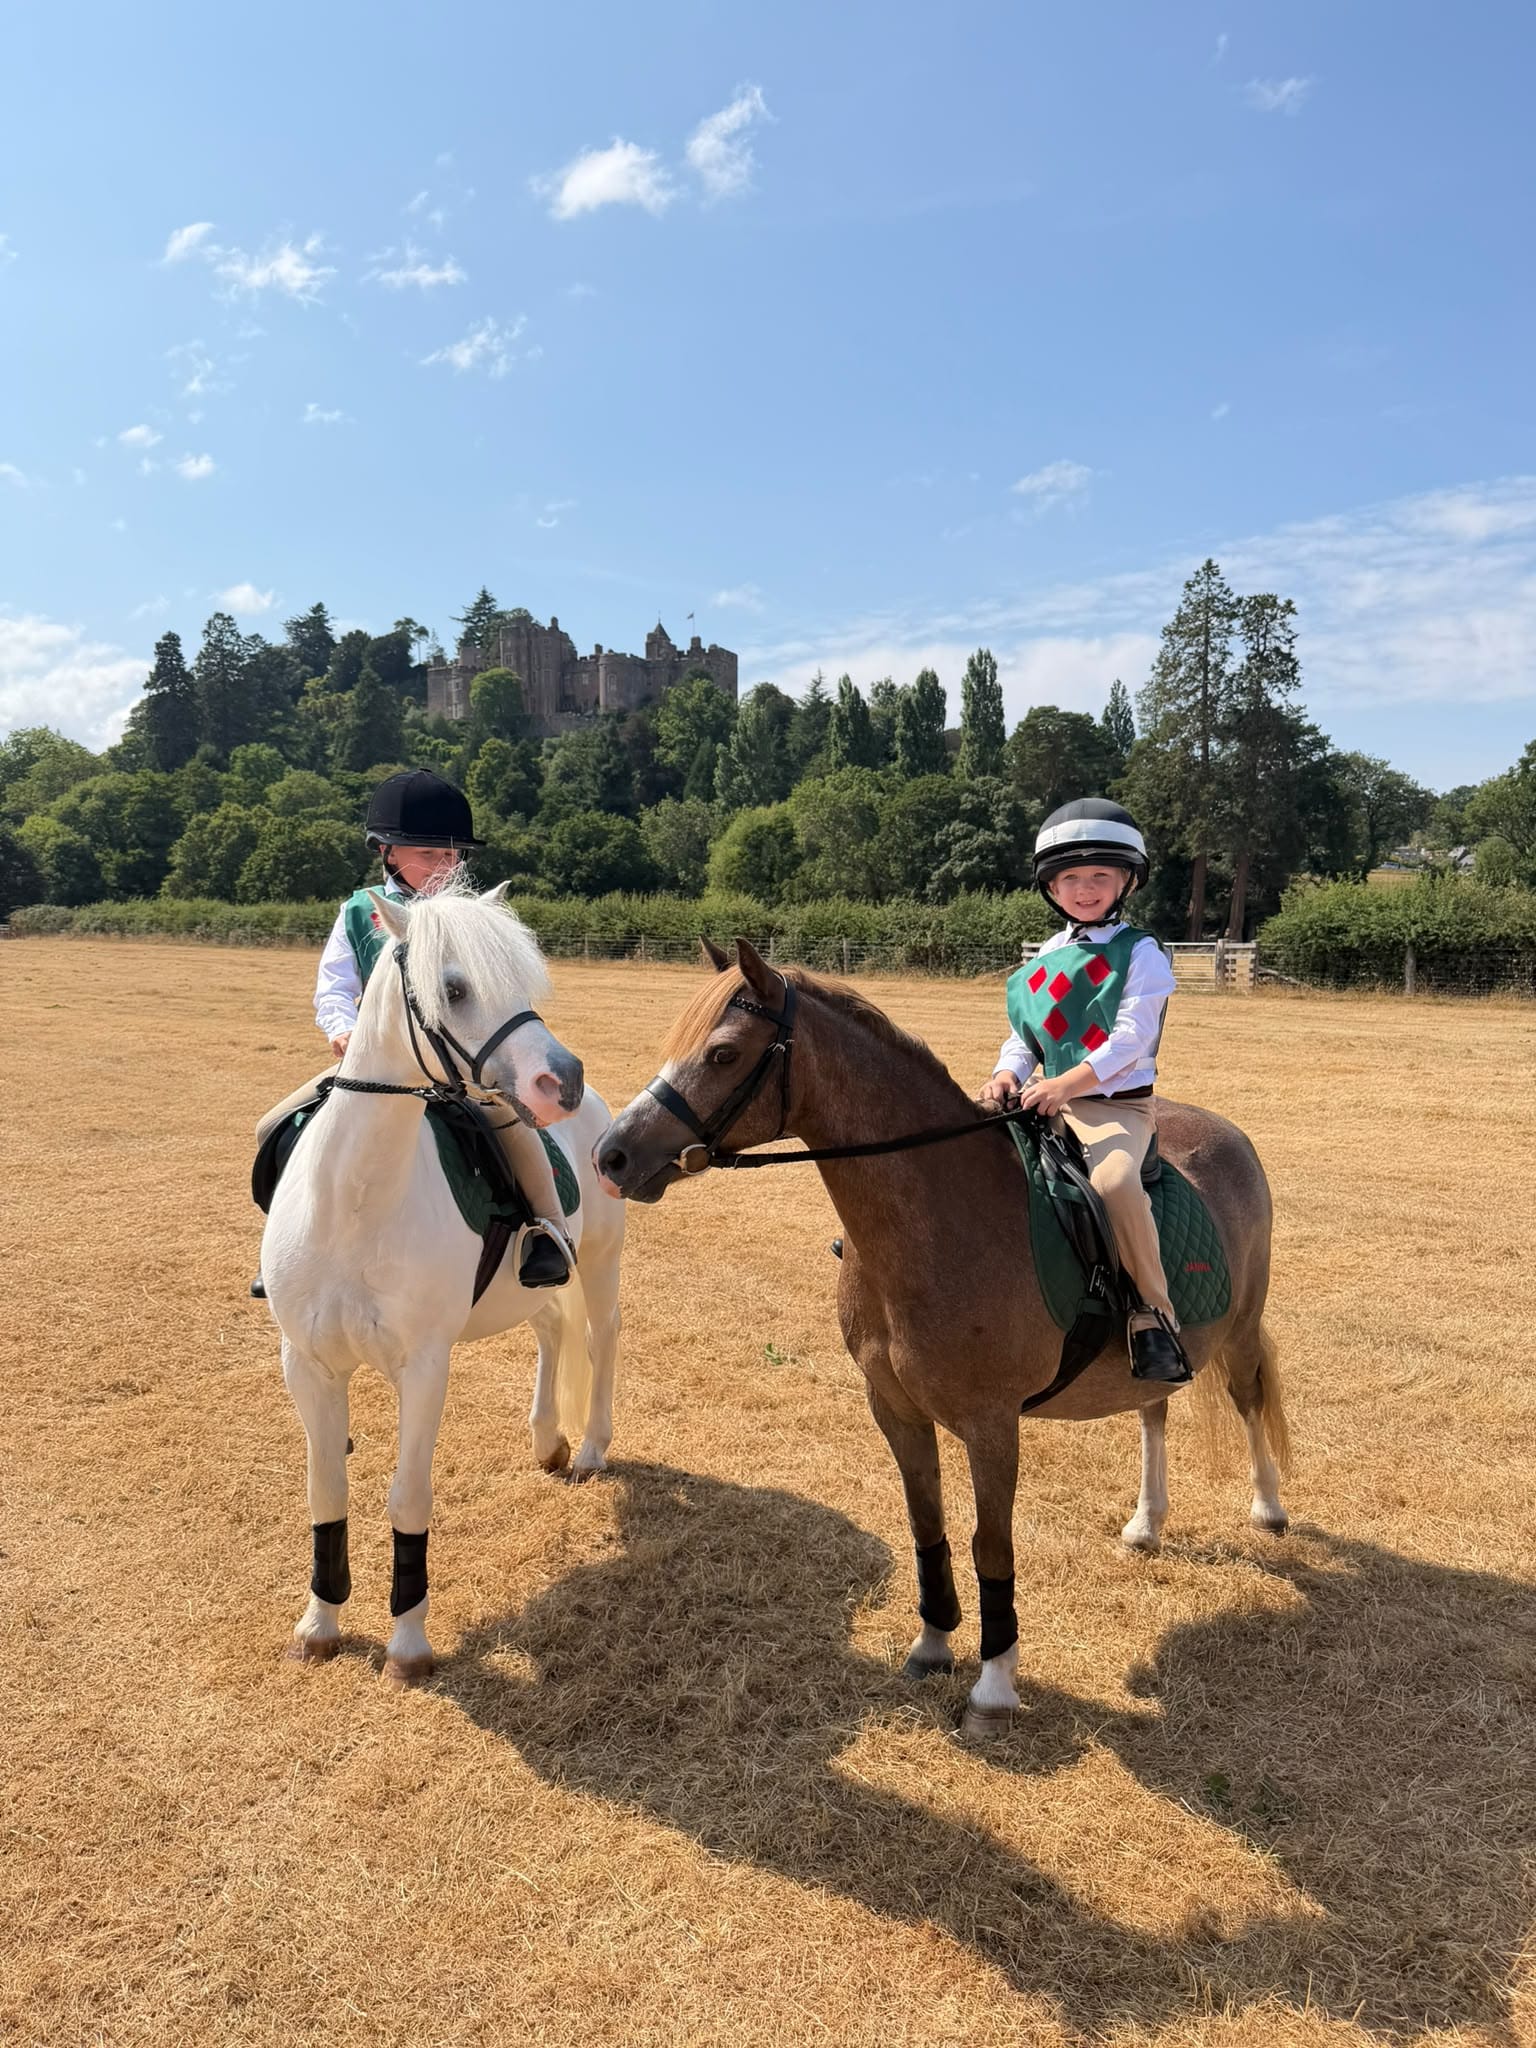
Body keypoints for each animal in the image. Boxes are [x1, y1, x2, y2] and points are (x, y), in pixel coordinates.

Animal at [261, 880, 625, 1682]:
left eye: (525, 978)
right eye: (453, 989)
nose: (564, 1080)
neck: (356, 1202)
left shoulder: (424, 1367)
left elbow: (407, 1497)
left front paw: (407, 1645)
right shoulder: (307, 1364)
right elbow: (324, 1490)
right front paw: (319, 1625)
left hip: (603, 1256)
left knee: (600, 1336)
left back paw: (588, 1450)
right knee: (552, 1327)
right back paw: (548, 1440)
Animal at [594, 938, 1288, 1737]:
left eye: (723, 1053)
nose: (611, 1155)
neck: (941, 1221)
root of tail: (1227, 1132)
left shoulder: (991, 1425)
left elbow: (993, 1543)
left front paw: (993, 1687)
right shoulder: (894, 1408)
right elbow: (925, 1522)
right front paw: (932, 1644)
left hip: (1240, 1328)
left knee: (1248, 1397)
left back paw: (1269, 1510)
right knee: (1153, 1408)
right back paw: (1147, 1524)